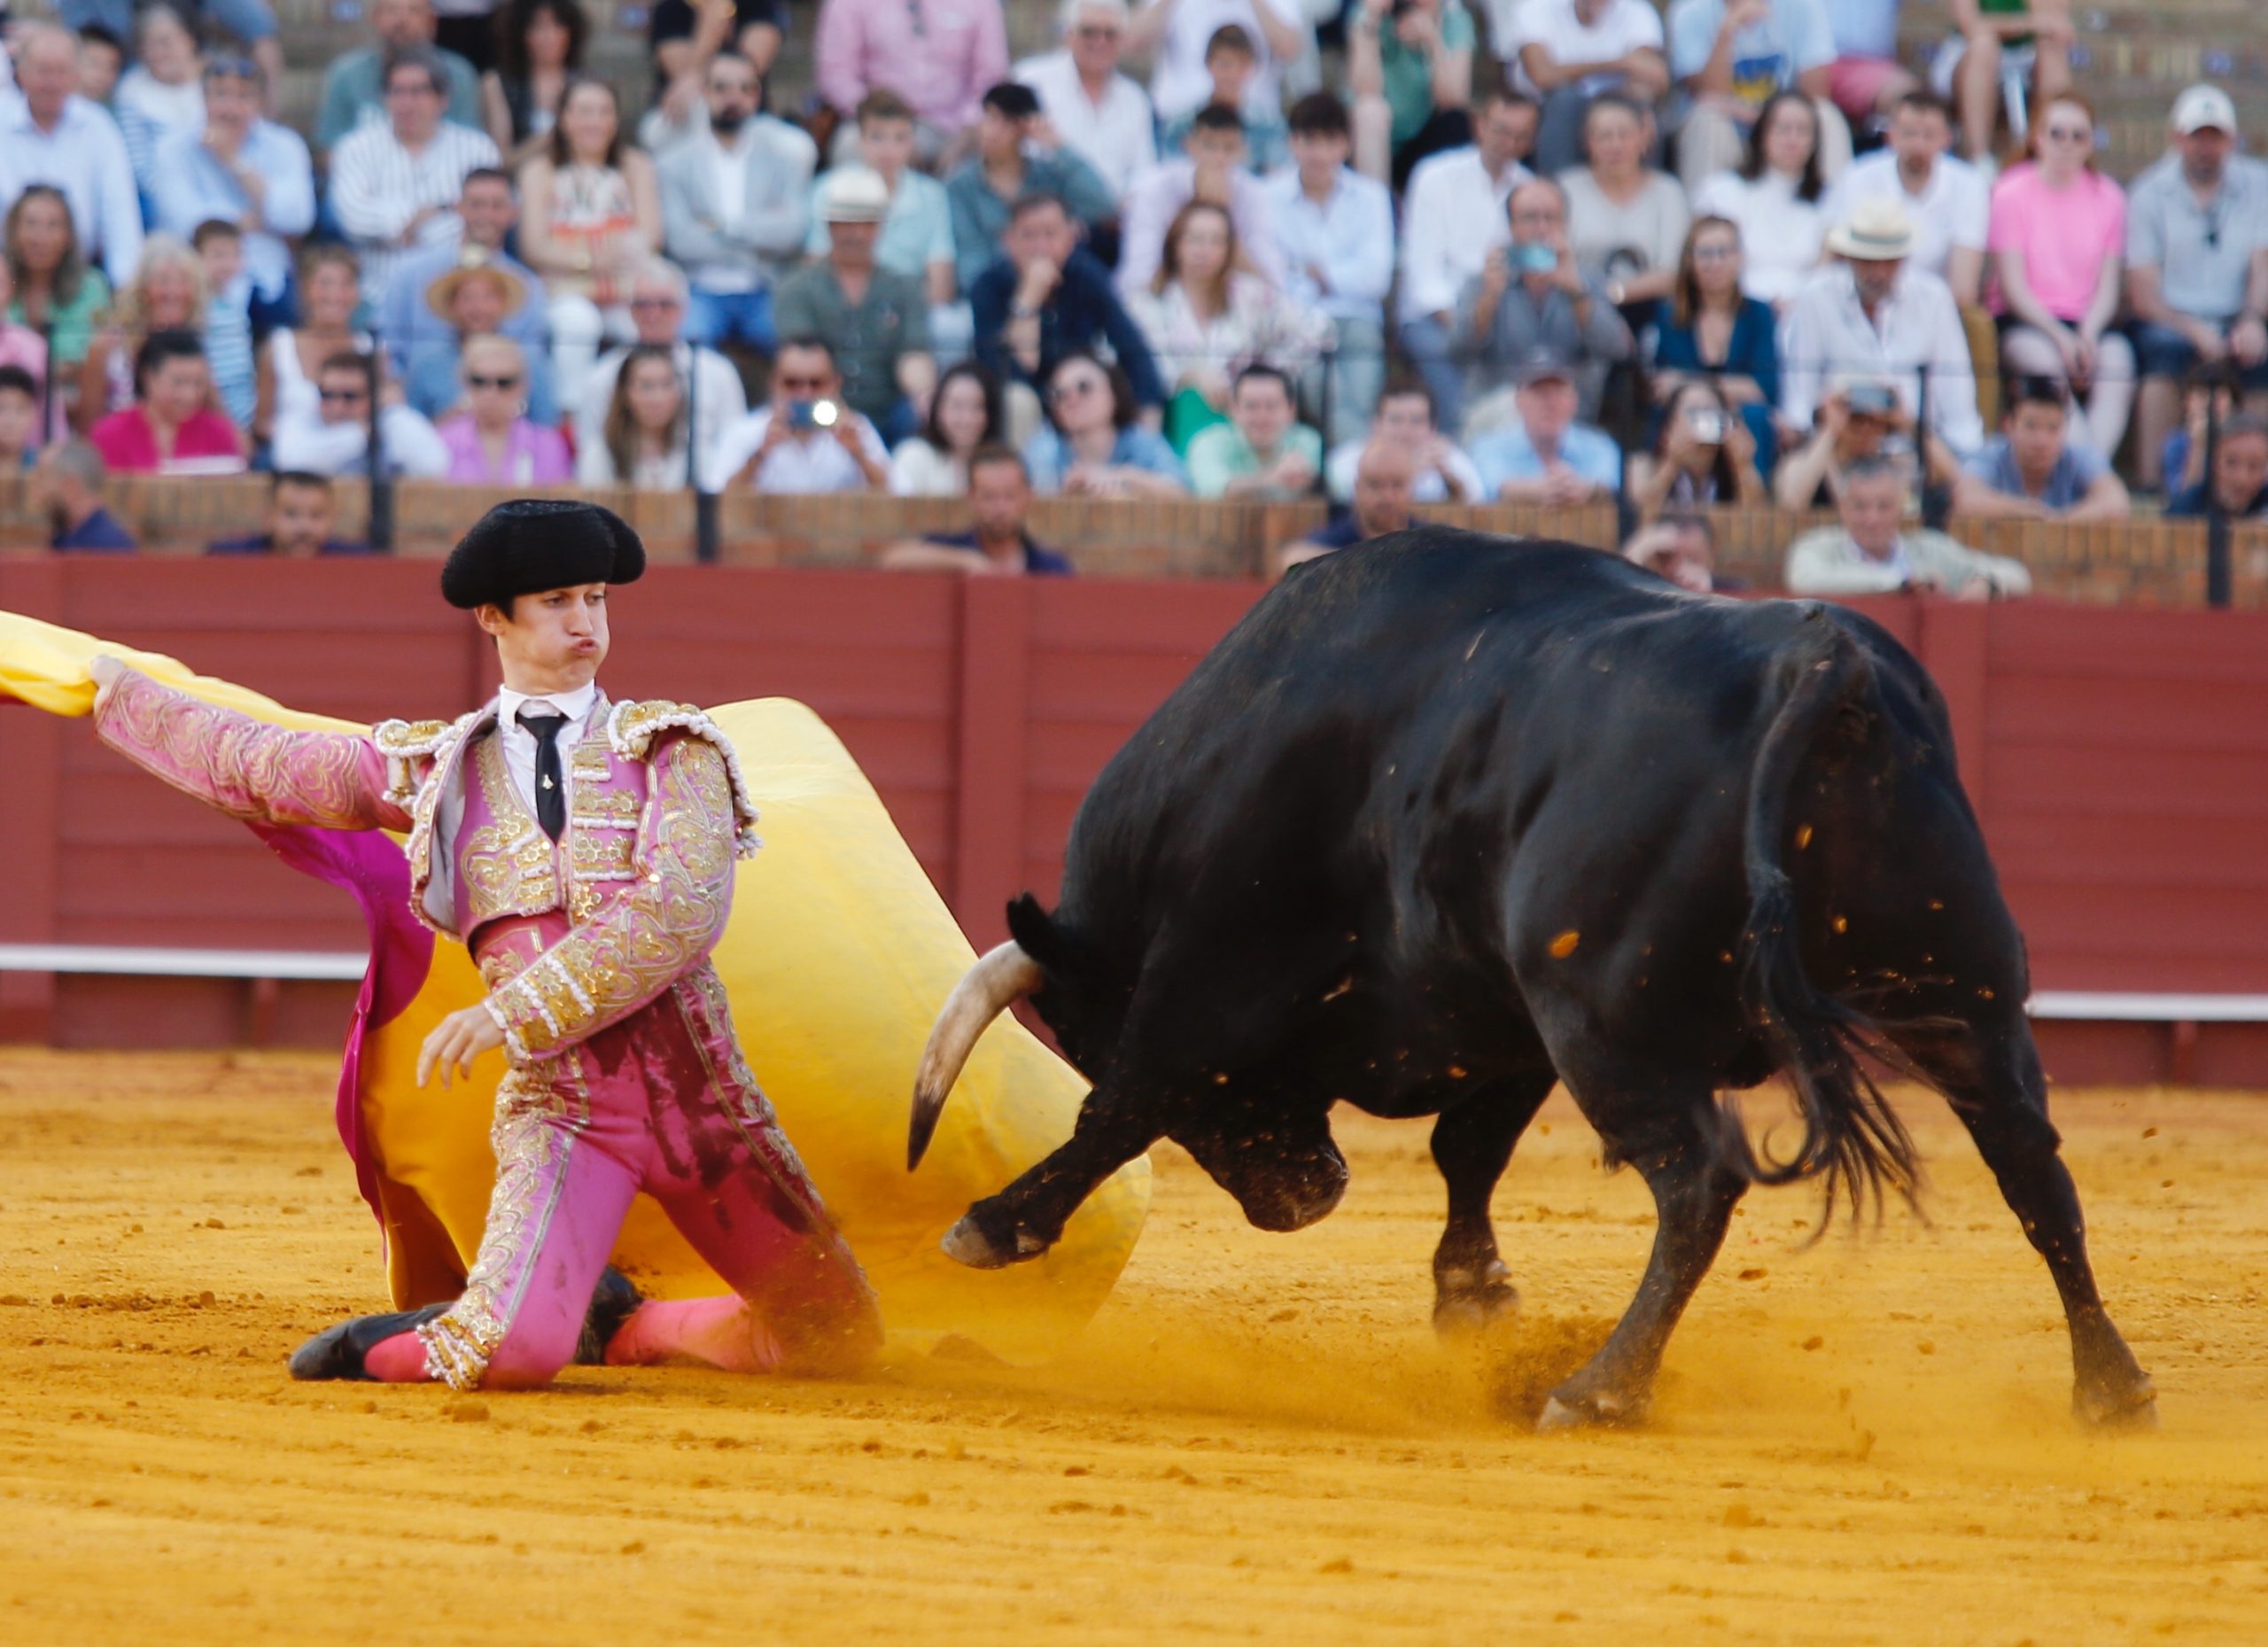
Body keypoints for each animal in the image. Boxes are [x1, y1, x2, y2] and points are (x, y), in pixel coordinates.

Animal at [906, 530, 2156, 1432]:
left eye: (1076, 1026)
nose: (1302, 1193)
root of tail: (1822, 667)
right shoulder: (1499, 1017)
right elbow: (1470, 1149)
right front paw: (1477, 1299)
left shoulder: (1210, 972)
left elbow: (1126, 1100)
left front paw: (991, 1223)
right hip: (1962, 992)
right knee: (2033, 1170)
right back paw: (2110, 1388)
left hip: (1610, 1023)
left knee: (1700, 1183)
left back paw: (1597, 1387)